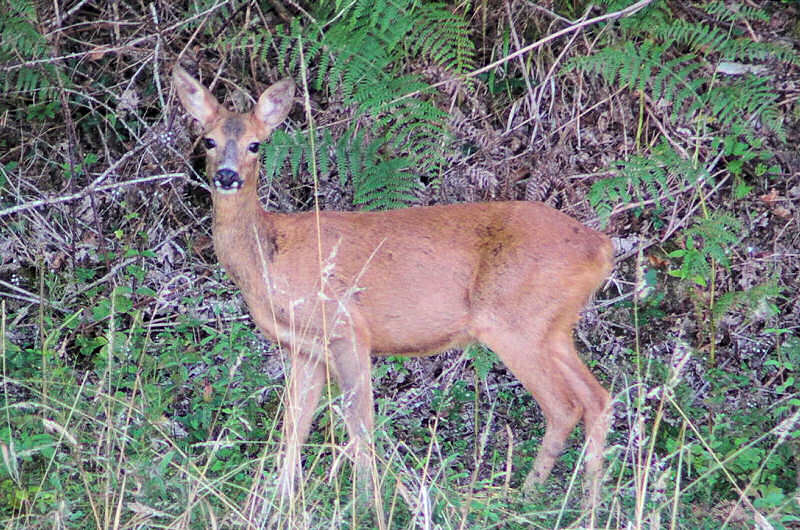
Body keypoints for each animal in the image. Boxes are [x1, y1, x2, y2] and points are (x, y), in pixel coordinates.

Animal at [173, 65, 612, 508]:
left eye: (255, 145)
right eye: (209, 140)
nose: (226, 176)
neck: (268, 256)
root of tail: (601, 247)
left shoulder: (347, 326)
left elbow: (359, 421)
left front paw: (368, 502)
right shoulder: (304, 347)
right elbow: (295, 422)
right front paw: (278, 499)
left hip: (515, 322)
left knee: (564, 406)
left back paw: (526, 497)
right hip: (552, 328)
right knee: (597, 398)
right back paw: (587, 503)